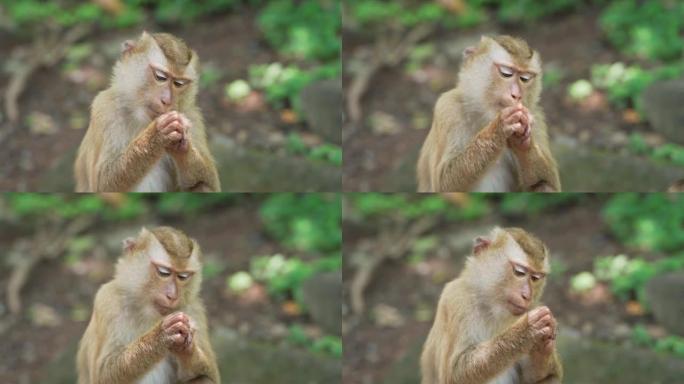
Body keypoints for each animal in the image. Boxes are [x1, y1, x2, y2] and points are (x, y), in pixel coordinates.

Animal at [75, 31, 220, 192]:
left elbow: (210, 184)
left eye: (178, 83)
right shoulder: (105, 109)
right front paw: (157, 134)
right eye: (160, 77)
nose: (167, 100)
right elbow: (103, 184)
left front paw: (183, 149)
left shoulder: (192, 116)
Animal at [78, 226, 220, 382]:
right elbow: (102, 376)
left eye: (183, 277)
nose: (172, 296)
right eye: (164, 272)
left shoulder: (194, 309)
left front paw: (187, 349)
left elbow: (210, 375)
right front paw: (160, 336)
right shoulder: (108, 302)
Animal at [416, 35, 560, 192]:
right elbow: (443, 183)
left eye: (525, 78)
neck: (484, 116)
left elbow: (549, 183)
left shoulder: (536, 116)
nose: (516, 95)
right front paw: (499, 126)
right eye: (506, 73)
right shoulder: (448, 108)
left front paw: (521, 142)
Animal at [422, 226, 560, 382]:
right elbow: (454, 375)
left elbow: (542, 377)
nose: (526, 295)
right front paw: (526, 330)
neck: (490, 307)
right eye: (519, 272)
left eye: (535, 278)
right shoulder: (456, 299)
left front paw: (541, 346)